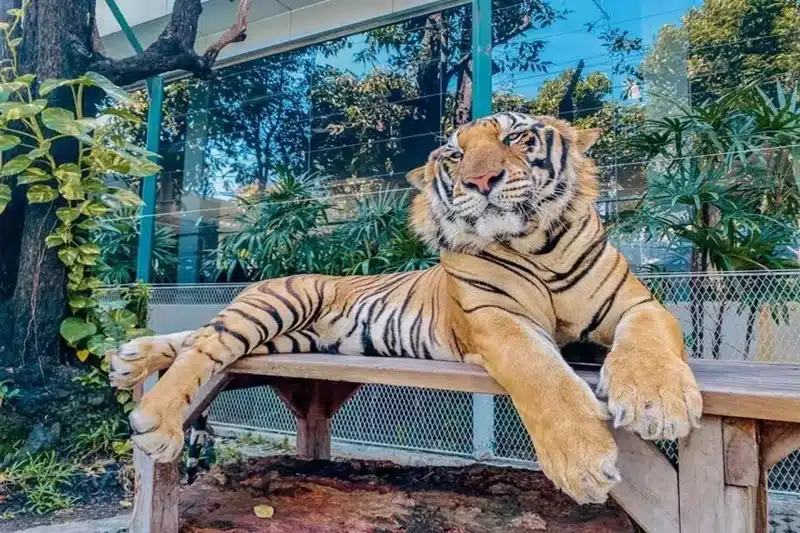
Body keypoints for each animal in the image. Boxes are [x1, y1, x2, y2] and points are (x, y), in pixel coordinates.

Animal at [107, 112, 702, 505]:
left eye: (515, 136)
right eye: (455, 155)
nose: (479, 181)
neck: (538, 243)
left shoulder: (636, 303)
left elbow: (649, 340)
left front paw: (657, 404)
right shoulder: (498, 321)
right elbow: (542, 375)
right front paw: (582, 459)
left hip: (289, 337)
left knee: (195, 335)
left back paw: (129, 359)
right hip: (278, 305)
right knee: (206, 343)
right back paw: (154, 419)